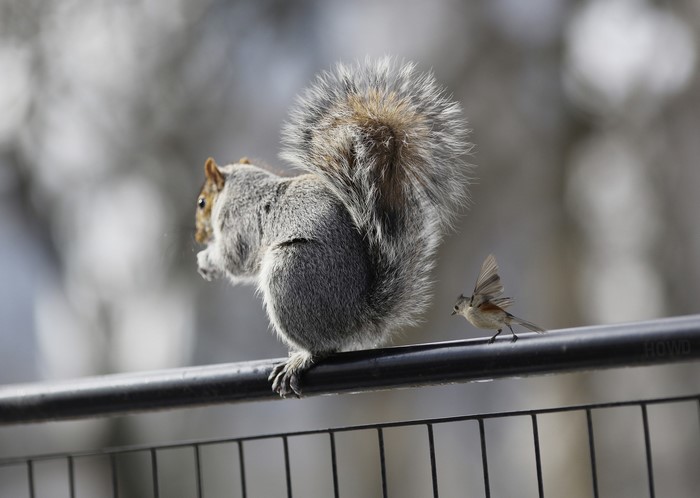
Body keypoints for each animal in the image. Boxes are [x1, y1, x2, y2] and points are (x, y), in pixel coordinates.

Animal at [195, 58, 471, 397]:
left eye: (202, 203)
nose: (197, 235)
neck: (243, 186)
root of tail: (357, 319)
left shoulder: (238, 222)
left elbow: (235, 259)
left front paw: (207, 260)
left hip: (289, 274)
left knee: (324, 347)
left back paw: (300, 360)